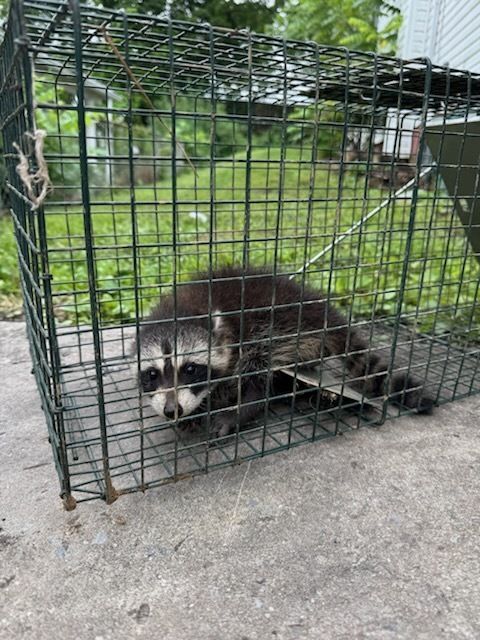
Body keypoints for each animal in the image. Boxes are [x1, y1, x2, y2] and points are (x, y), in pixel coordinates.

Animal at [133, 266, 434, 438]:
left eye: (190, 369)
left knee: (263, 373)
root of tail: (325, 312)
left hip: (286, 327)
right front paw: (194, 411)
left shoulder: (251, 334)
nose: (172, 410)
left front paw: (235, 410)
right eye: (152, 374)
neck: (181, 310)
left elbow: (251, 379)